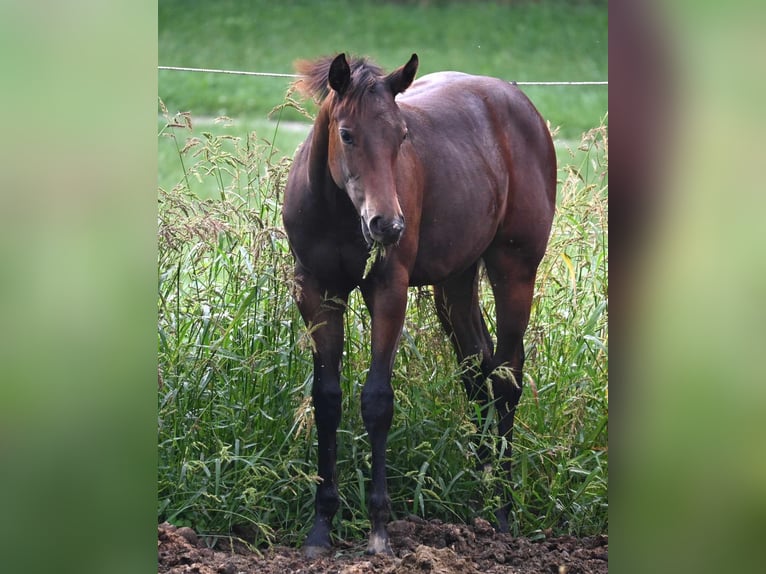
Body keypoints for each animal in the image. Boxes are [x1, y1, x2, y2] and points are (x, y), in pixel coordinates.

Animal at [282, 53, 560, 560]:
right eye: (346, 134)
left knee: (506, 374)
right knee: (476, 369)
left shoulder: (389, 290)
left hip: (514, 269)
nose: (388, 225)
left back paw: (503, 510)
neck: (337, 211)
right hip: (455, 280)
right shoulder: (315, 292)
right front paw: (320, 528)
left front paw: (379, 530)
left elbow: (376, 400)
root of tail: (517, 100)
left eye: (401, 135)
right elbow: (326, 399)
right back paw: (480, 489)